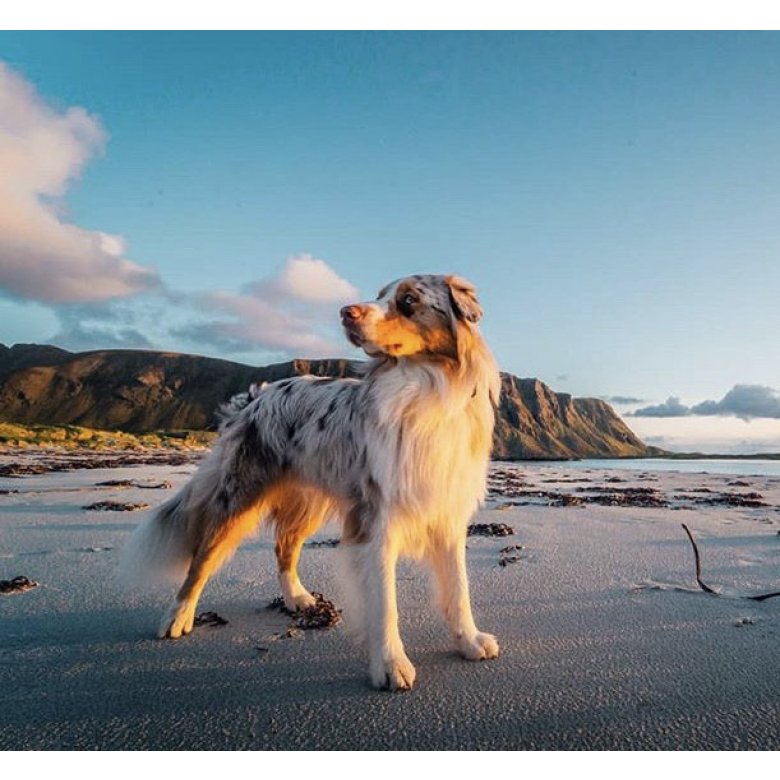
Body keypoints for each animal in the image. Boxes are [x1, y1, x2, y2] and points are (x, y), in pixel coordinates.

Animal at [122, 274, 500, 688]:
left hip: (308, 500)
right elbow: (385, 602)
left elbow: (458, 588)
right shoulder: (375, 518)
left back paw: (297, 598)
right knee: (202, 557)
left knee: (284, 546)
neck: (424, 388)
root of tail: (257, 396)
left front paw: (468, 640)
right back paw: (178, 616)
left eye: (408, 299)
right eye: (380, 294)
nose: (345, 312)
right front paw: (390, 663)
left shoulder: (447, 511)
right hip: (240, 495)